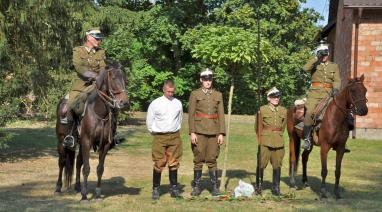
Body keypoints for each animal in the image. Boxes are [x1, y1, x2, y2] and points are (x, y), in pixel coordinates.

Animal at [54, 63, 128, 202]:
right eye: (113, 78)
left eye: (125, 79)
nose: (125, 102)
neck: (98, 112)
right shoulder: (86, 141)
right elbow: (87, 168)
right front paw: (84, 197)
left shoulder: (104, 144)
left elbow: (100, 168)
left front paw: (97, 194)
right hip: (61, 141)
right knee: (62, 162)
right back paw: (58, 188)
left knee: (78, 162)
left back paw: (78, 186)